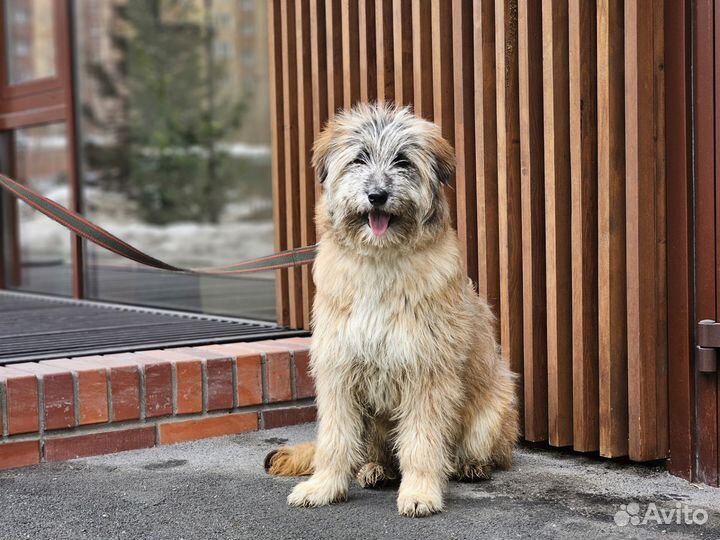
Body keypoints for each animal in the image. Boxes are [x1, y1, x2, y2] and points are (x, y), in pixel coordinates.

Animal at [264, 103, 516, 516]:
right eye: (359, 158)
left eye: (402, 161)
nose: (377, 195)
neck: (380, 261)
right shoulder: (338, 369)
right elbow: (334, 439)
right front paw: (323, 486)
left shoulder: (426, 372)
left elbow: (422, 442)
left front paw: (420, 492)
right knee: (374, 451)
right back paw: (376, 468)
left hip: (491, 412)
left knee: (480, 451)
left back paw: (470, 466)